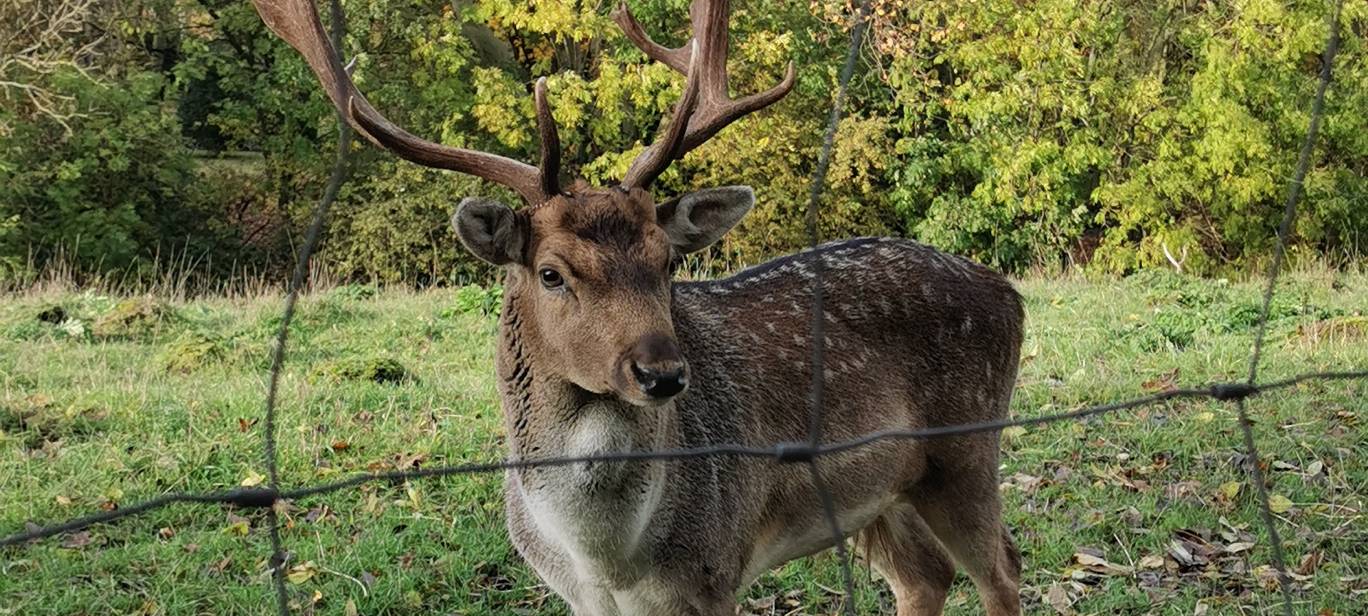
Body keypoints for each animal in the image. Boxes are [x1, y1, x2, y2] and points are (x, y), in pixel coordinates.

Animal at [251, 1, 1024, 614]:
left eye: (666, 261)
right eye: (551, 273)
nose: (663, 373)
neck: (607, 559)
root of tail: (1010, 293)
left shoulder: (714, 572)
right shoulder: (577, 597)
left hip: (967, 447)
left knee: (1002, 568)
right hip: (884, 491)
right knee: (926, 576)